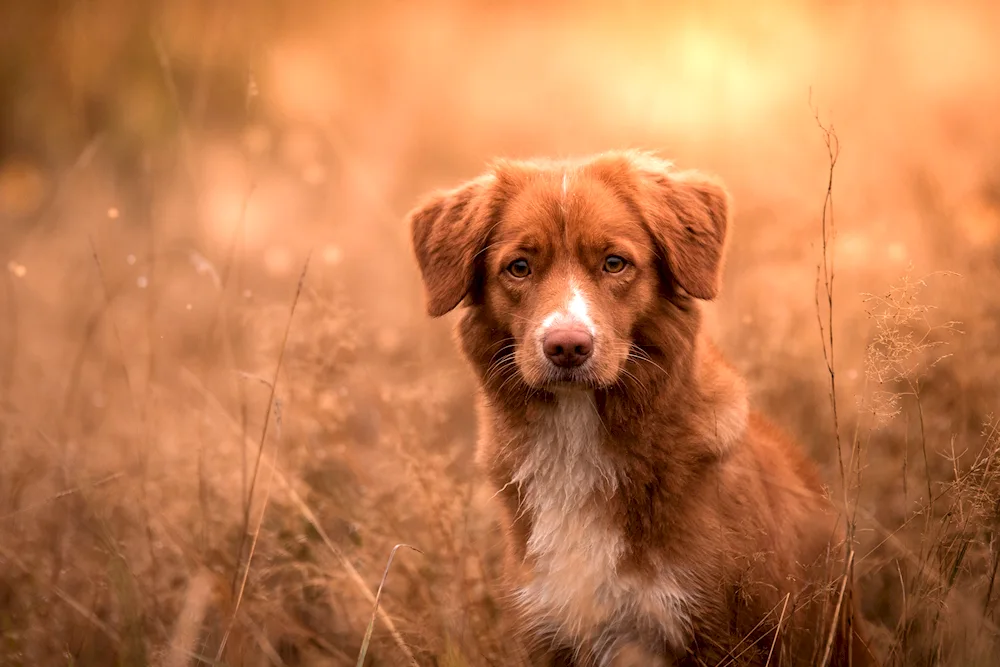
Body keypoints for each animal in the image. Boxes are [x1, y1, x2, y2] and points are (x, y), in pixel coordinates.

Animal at [406, 153, 876, 667]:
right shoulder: (549, 629)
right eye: (519, 267)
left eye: (615, 263)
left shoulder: (723, 634)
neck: (578, 436)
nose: (567, 347)